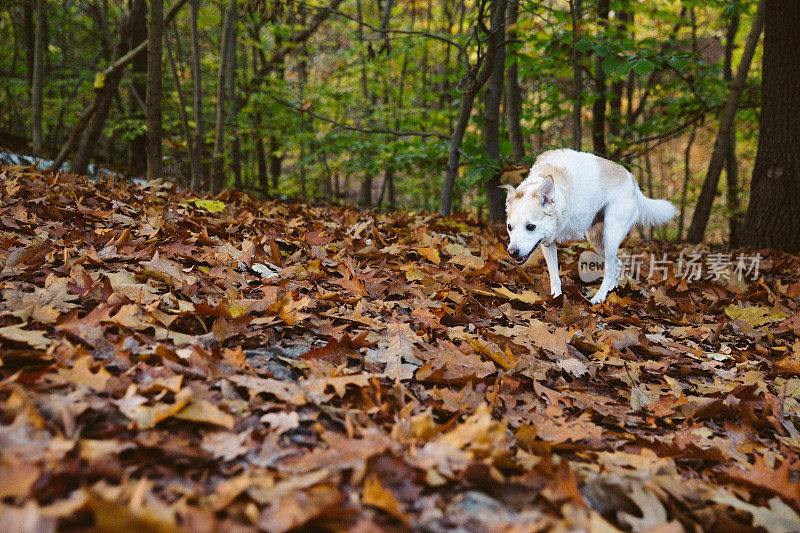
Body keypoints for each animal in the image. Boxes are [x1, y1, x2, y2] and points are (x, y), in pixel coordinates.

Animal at [506, 149, 676, 304]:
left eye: (531, 227)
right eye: (509, 227)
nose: (512, 252)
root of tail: (632, 181)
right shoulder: (548, 244)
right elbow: (554, 275)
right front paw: (556, 297)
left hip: (610, 235)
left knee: (610, 269)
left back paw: (599, 298)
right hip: (597, 241)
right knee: (617, 264)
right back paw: (612, 290)